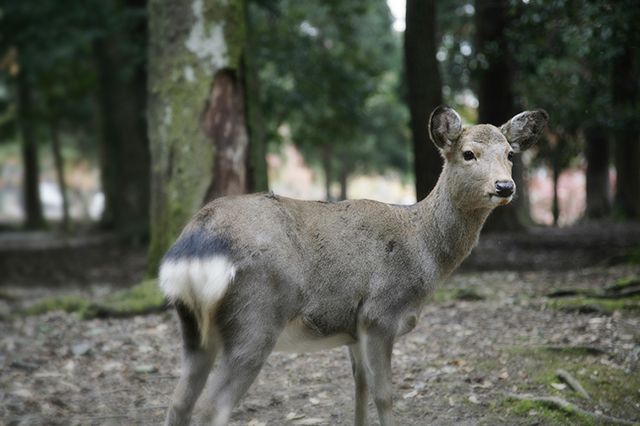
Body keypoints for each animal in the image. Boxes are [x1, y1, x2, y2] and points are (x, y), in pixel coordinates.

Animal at [158, 105, 548, 424]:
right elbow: (384, 395)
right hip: (255, 316)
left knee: (179, 403)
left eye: (509, 153)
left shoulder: (353, 328)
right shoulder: (379, 314)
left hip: (193, 327)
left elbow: (359, 391)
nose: (505, 186)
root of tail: (194, 243)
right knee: (210, 408)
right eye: (468, 153)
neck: (424, 250)